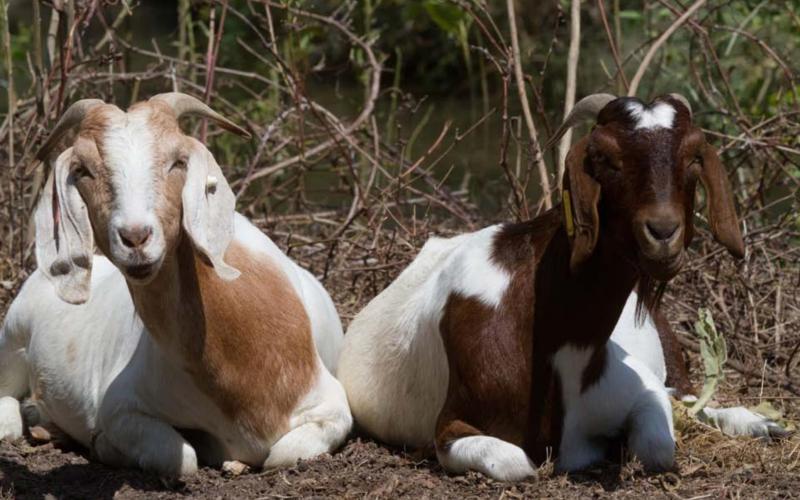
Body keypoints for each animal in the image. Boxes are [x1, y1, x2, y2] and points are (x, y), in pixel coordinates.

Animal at [0, 93, 352, 476]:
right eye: (84, 170)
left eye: (177, 162)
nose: (135, 237)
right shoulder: (121, 407)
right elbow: (180, 457)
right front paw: (104, 446)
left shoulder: (332, 407)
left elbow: (283, 454)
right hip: (12, 336)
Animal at [337, 94, 745, 480]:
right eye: (603, 157)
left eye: (694, 156)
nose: (662, 233)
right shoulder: (453, 425)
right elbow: (517, 463)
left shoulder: (639, 389)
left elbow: (658, 447)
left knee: (690, 397)